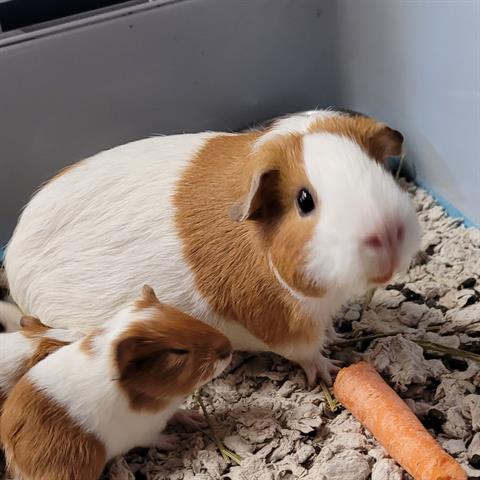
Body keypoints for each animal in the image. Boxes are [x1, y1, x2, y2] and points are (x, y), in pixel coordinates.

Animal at [1, 285, 232, 480]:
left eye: (185, 317)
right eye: (178, 351)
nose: (228, 348)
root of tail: (11, 450)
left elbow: (179, 413)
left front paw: (196, 418)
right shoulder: (143, 431)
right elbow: (156, 438)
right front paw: (174, 442)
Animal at [3, 110, 421, 386]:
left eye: (379, 170)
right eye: (304, 200)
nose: (387, 232)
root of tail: (13, 262)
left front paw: (335, 335)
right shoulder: (278, 323)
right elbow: (305, 351)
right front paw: (329, 370)